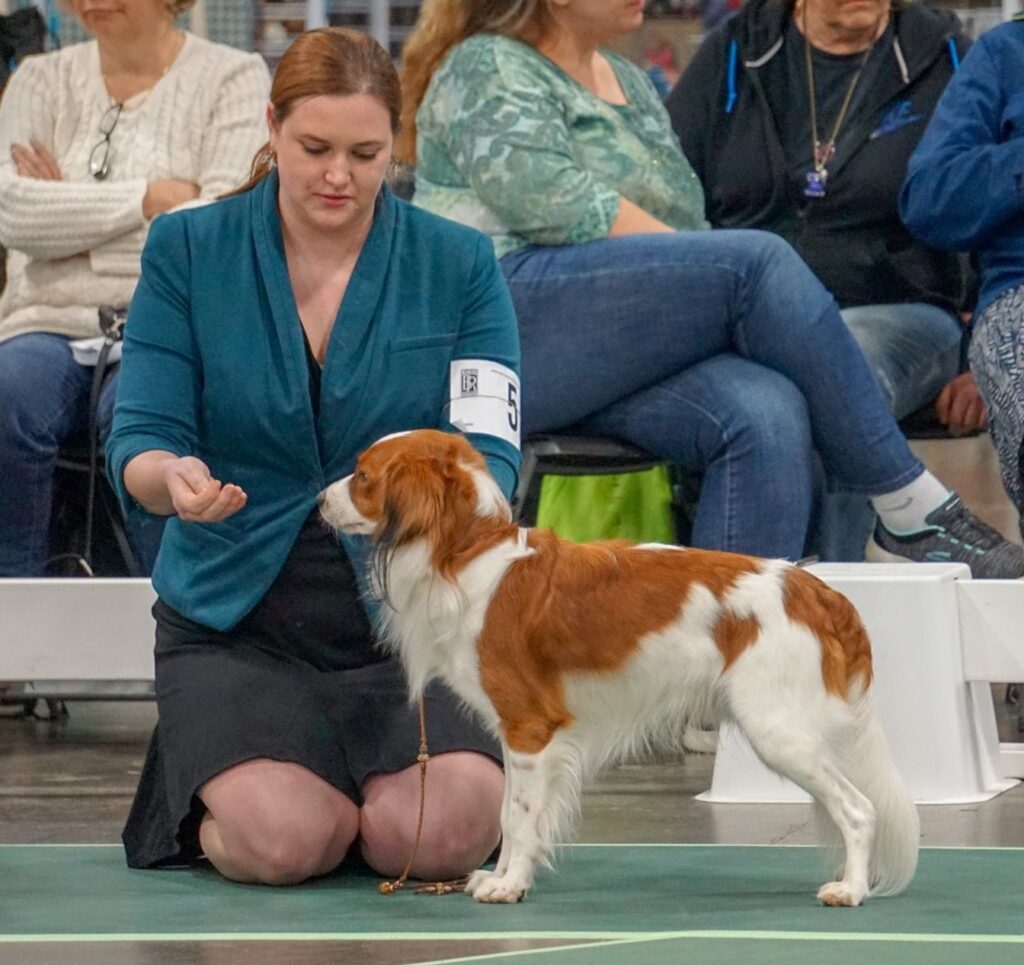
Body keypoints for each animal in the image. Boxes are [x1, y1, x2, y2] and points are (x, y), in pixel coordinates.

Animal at [319, 430, 921, 905]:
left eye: (363, 475)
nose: (320, 499)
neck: (469, 554)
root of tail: (813, 588)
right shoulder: (518, 737)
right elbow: (510, 815)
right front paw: (503, 875)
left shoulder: (529, 728)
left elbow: (518, 816)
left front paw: (509, 885)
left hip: (779, 732)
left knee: (860, 809)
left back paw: (851, 889)